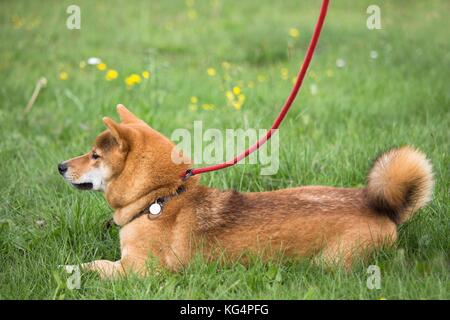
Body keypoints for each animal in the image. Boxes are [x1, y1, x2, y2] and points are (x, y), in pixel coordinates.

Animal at [58, 105, 434, 278]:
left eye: (94, 155)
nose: (60, 165)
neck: (160, 196)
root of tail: (380, 208)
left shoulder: (139, 271)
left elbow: (94, 265)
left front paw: (69, 269)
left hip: (331, 262)